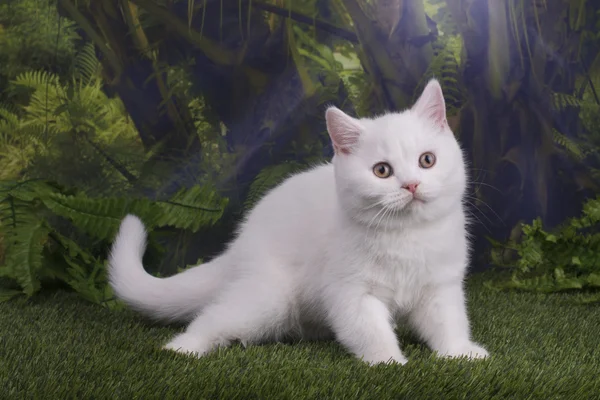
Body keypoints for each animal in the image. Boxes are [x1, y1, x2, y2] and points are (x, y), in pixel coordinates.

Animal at [109, 79, 488, 366]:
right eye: (382, 170)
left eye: (427, 160)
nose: (411, 185)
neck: (406, 237)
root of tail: (240, 243)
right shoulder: (350, 292)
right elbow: (370, 330)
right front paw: (388, 361)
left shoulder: (440, 288)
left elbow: (449, 322)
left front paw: (461, 353)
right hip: (269, 298)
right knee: (214, 315)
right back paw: (184, 347)